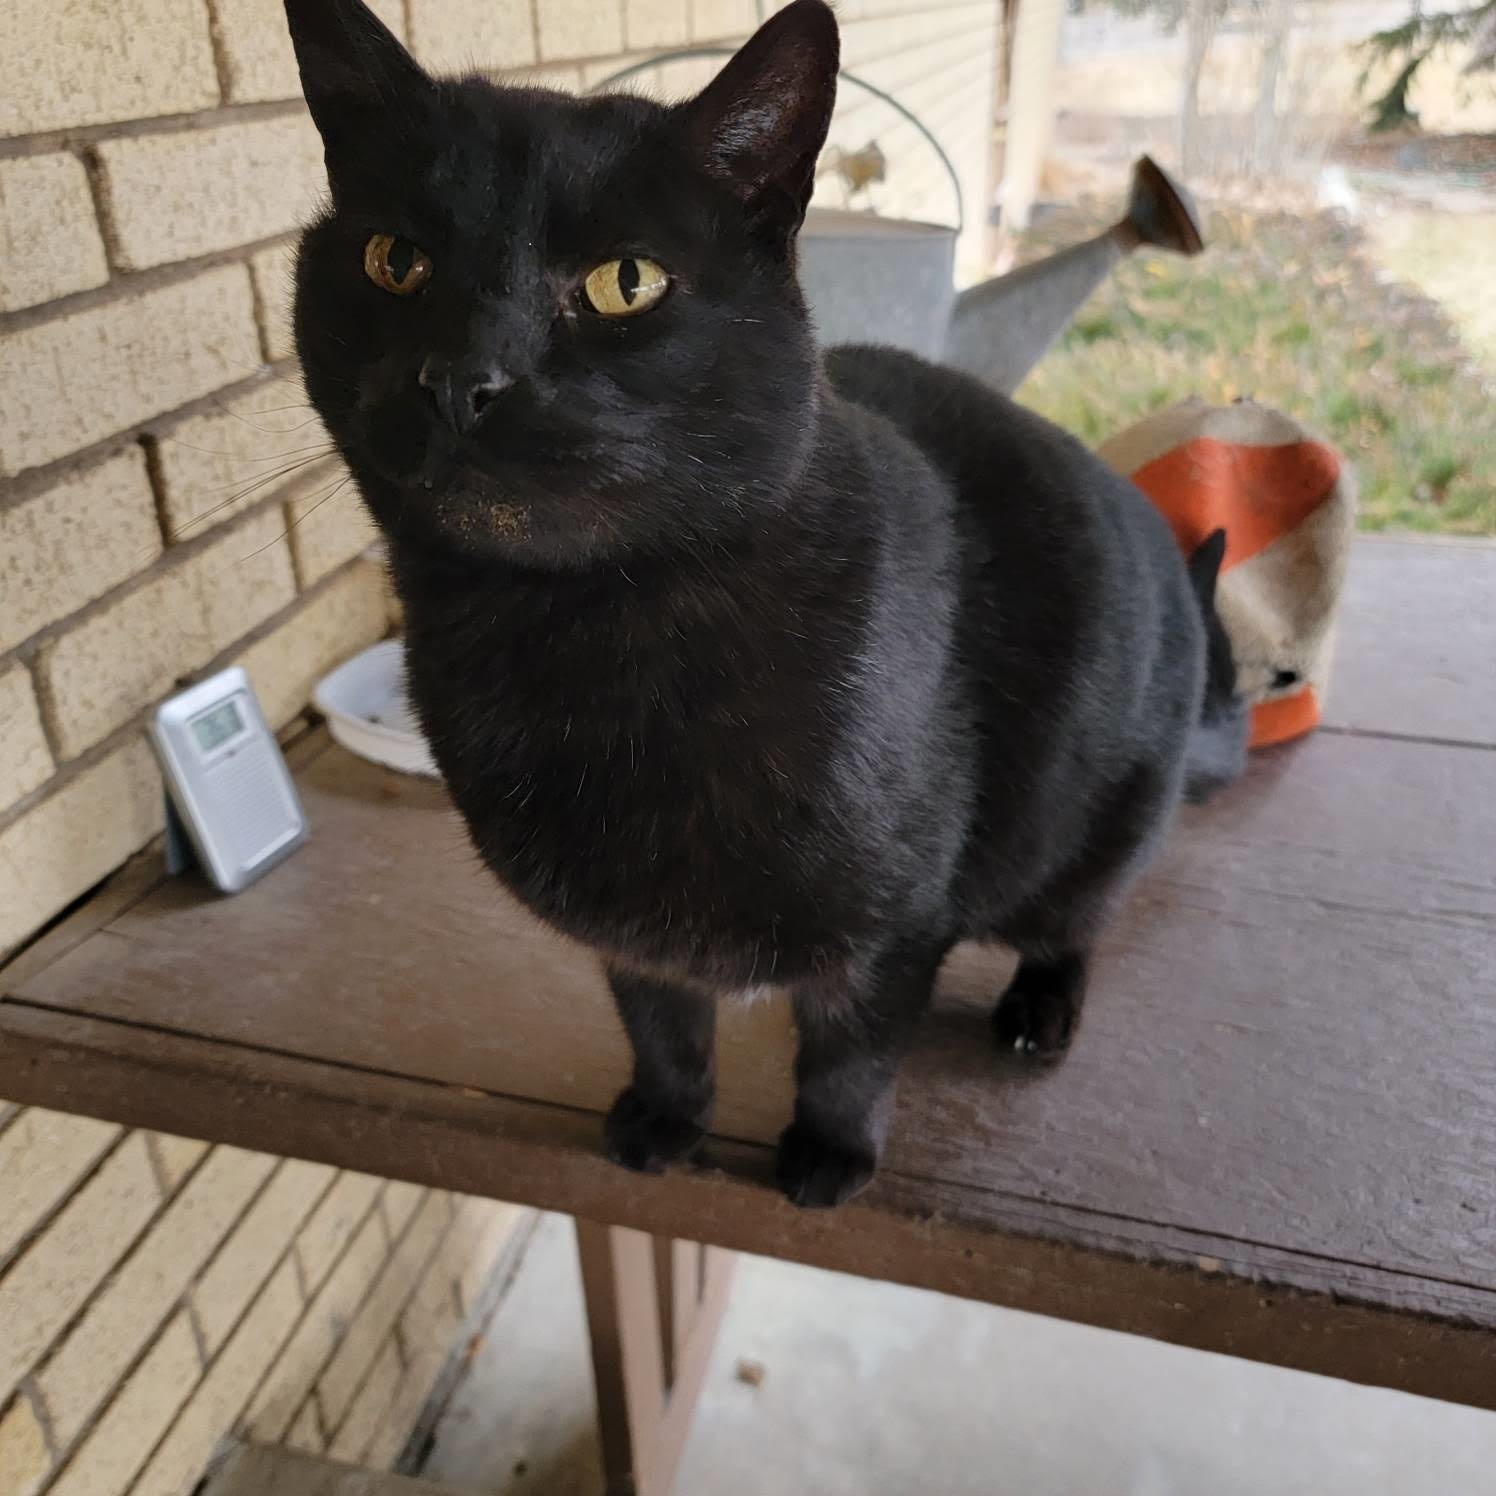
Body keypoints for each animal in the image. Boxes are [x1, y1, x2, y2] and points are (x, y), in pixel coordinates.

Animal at [285, 0, 1244, 1208]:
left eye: (626, 281)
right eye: (395, 260)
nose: (461, 378)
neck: (587, 643)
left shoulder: (898, 923)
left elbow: (850, 1051)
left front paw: (828, 1157)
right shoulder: (629, 935)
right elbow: (659, 1021)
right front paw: (664, 1122)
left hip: (1099, 824)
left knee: (1076, 922)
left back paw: (1039, 1010)